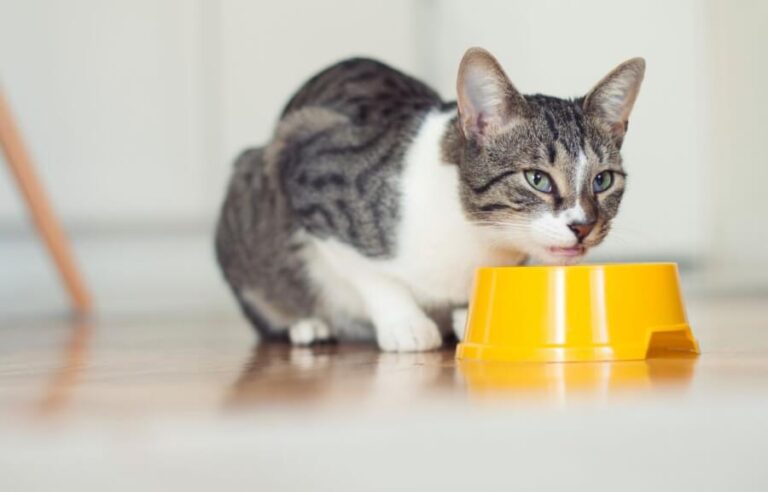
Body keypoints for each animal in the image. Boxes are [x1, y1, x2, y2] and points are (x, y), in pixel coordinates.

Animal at [213, 48, 644, 352]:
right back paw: (308, 325)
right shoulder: (313, 174)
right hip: (252, 182)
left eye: (603, 180)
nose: (583, 226)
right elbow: (368, 271)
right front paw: (406, 324)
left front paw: (466, 316)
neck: (473, 233)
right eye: (537, 179)